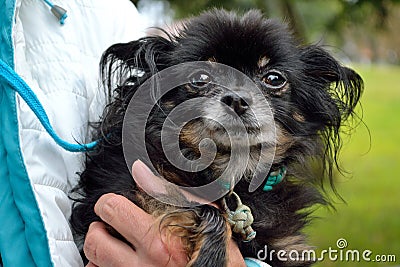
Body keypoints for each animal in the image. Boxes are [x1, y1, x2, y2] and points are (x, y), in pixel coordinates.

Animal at [70, 9, 364, 266]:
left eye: (273, 78)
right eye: (200, 77)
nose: (236, 99)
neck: (232, 175)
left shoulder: (287, 247)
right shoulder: (123, 188)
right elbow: (200, 208)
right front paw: (210, 258)